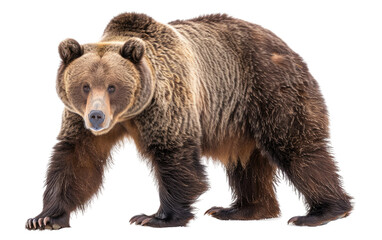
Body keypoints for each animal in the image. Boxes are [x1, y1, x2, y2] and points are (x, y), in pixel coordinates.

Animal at [26, 13, 352, 231]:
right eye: (84, 86)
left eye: (112, 87)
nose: (96, 116)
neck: (129, 114)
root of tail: (286, 46)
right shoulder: (80, 121)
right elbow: (77, 158)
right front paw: (44, 217)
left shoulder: (167, 101)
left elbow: (175, 156)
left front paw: (154, 217)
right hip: (239, 120)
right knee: (246, 163)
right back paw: (243, 210)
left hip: (268, 89)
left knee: (298, 149)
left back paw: (322, 212)